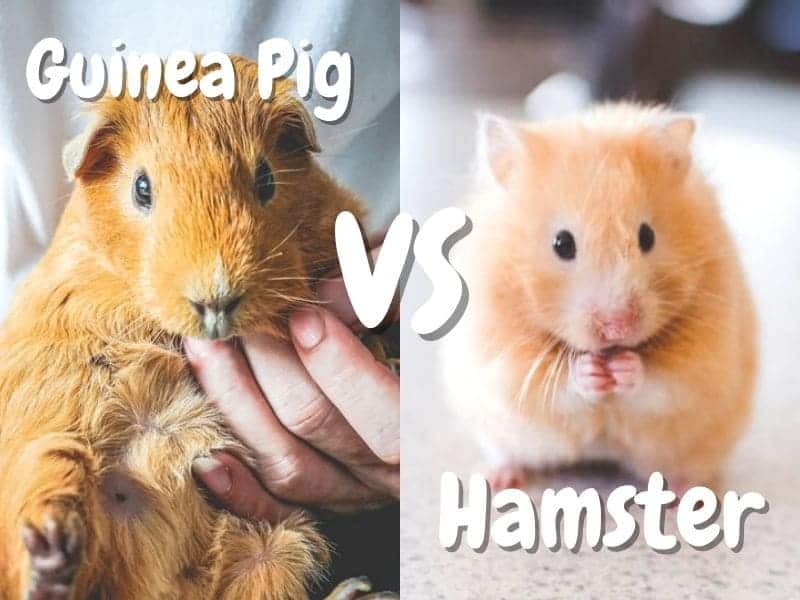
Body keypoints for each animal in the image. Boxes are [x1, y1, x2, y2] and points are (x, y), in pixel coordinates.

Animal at [0, 56, 363, 599]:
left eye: (266, 180)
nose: (215, 299)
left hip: (283, 545)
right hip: (53, 453)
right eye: (141, 187)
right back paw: (51, 560)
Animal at [443, 103, 757, 493]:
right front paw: (591, 371)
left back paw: (688, 493)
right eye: (562, 243)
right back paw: (495, 478)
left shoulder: (704, 360)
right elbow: (553, 386)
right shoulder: (502, 358)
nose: (617, 328)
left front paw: (624, 368)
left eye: (647, 236)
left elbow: (661, 382)